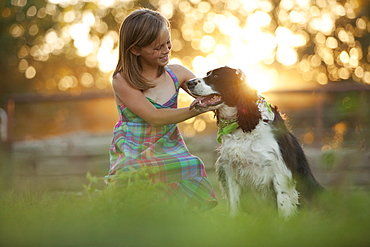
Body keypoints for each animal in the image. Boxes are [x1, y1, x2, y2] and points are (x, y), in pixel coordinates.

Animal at [186, 66, 322, 217]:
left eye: (216, 76)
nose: (188, 83)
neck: (241, 126)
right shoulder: (230, 171)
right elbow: (234, 205)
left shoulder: (280, 172)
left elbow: (283, 206)